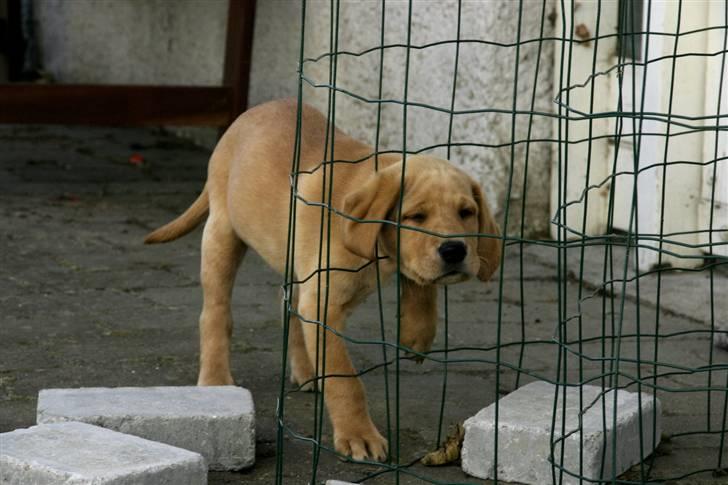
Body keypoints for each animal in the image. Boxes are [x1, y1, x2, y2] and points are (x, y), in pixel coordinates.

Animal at [146, 99, 504, 462]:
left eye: (467, 213)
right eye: (415, 217)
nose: (454, 250)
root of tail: (248, 114)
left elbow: (418, 281)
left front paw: (416, 335)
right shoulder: (325, 304)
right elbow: (345, 379)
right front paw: (359, 435)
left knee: (289, 306)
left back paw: (306, 369)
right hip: (222, 234)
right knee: (217, 312)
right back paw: (217, 378)